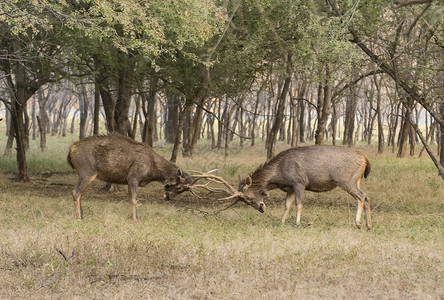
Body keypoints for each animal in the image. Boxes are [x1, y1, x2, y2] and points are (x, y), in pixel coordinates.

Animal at [239, 146, 372, 230]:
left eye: (248, 197)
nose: (261, 209)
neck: (279, 176)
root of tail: (365, 158)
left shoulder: (299, 182)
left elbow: (298, 204)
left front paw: (297, 223)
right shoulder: (290, 187)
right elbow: (287, 205)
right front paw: (281, 221)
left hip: (346, 180)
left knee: (362, 196)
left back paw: (358, 223)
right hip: (357, 180)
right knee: (366, 197)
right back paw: (369, 225)